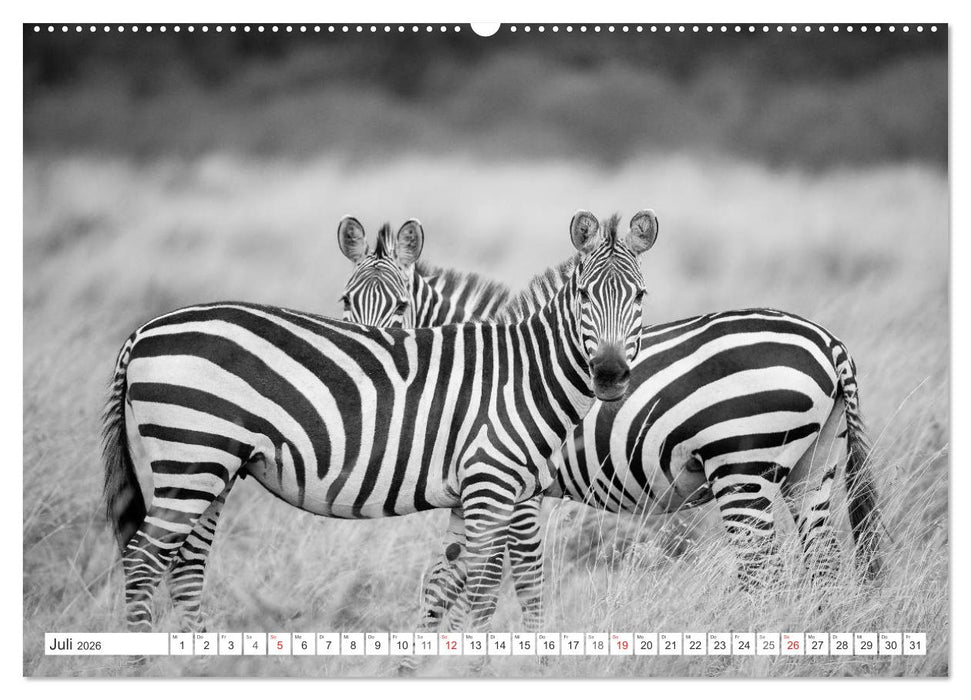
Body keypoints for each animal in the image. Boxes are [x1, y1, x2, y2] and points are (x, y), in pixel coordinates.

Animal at [101, 209, 659, 633]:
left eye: (640, 296)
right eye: (584, 296)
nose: (610, 375)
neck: (526, 373)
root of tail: (143, 330)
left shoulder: (481, 496)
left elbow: (447, 584)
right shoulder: (495, 488)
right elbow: (492, 588)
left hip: (208, 468)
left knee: (185, 567)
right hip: (192, 459)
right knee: (143, 561)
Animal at [338, 219, 882, 643]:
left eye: (401, 307)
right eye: (345, 301)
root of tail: (828, 341)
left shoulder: (518, 491)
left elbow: (506, 583)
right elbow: (462, 581)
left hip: (742, 470)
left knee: (763, 574)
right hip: (813, 468)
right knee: (824, 567)